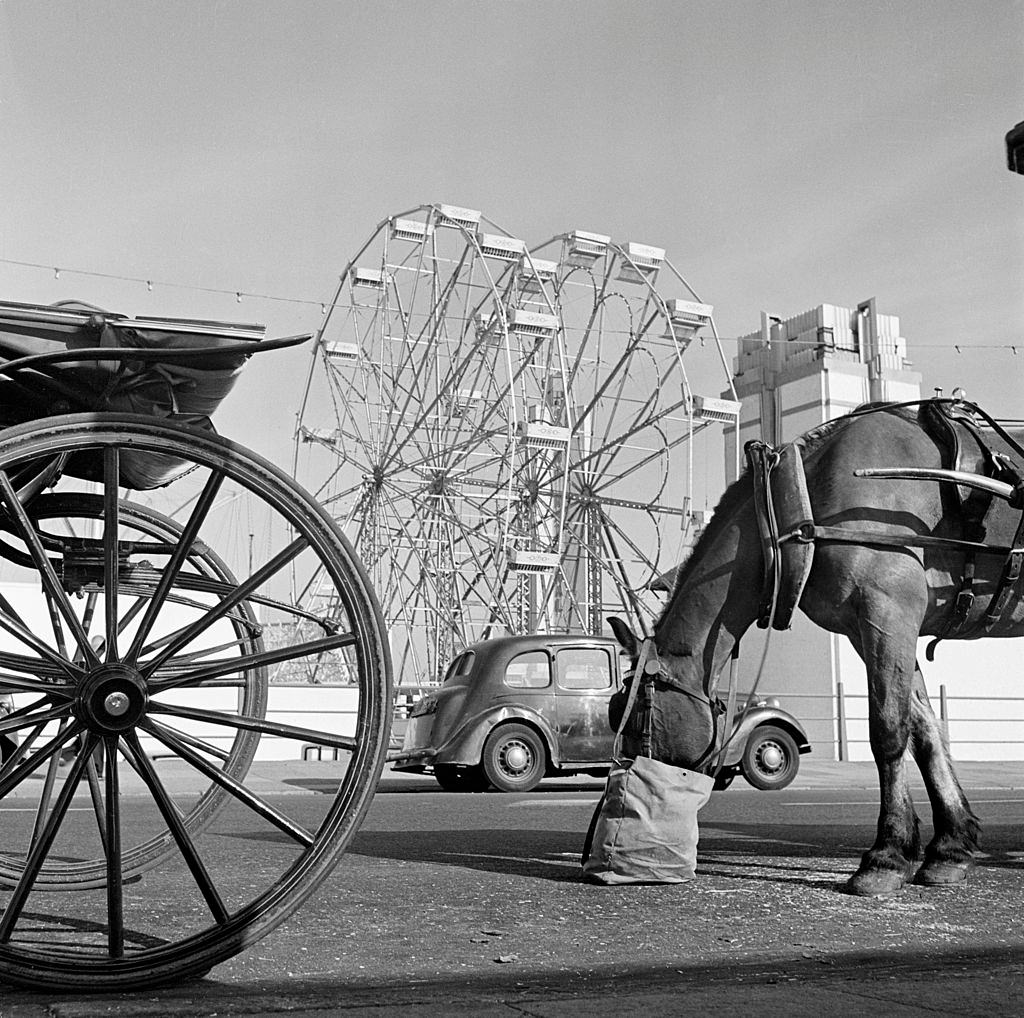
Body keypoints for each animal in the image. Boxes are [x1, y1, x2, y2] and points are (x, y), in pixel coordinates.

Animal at [606, 401, 1024, 893]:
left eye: (640, 715)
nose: (628, 788)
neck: (797, 509)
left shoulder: (888, 613)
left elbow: (888, 731)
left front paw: (887, 854)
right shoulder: (870, 630)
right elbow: (924, 733)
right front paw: (950, 847)